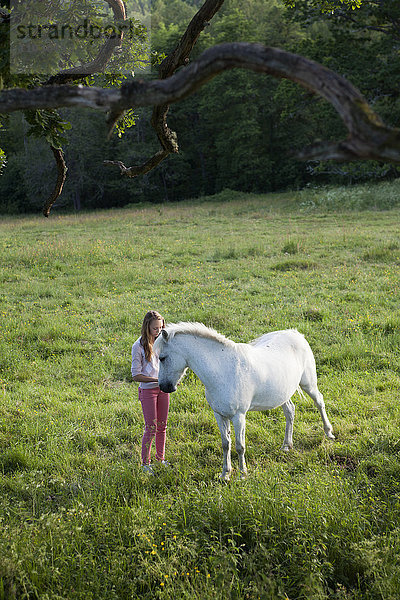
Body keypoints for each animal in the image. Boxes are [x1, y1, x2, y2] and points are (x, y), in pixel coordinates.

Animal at [153, 322, 334, 480]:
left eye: (162, 358)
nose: (164, 387)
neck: (223, 369)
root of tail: (295, 333)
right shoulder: (219, 415)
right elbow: (225, 444)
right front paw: (225, 474)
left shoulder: (239, 416)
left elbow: (240, 446)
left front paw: (242, 474)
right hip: (283, 393)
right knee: (290, 411)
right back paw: (286, 446)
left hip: (308, 383)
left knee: (319, 402)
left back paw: (329, 433)